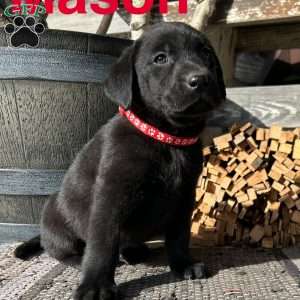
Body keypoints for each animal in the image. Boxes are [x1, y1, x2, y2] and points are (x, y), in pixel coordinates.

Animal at [14, 22, 225, 298]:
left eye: (206, 54)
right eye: (160, 58)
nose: (200, 79)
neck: (166, 139)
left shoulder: (185, 196)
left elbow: (180, 235)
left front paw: (183, 265)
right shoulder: (112, 195)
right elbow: (102, 245)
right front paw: (95, 285)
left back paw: (134, 251)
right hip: (57, 223)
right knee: (63, 251)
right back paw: (81, 259)